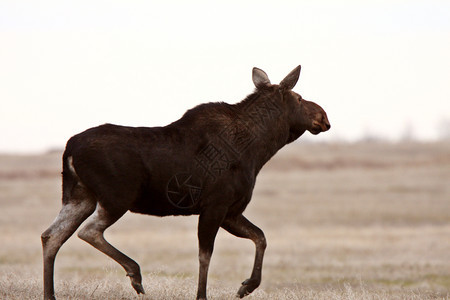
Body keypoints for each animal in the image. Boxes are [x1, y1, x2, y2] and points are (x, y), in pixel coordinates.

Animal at [40, 64, 328, 298]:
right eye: (299, 98)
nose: (323, 116)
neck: (259, 150)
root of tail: (69, 149)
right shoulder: (216, 206)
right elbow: (205, 256)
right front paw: (203, 295)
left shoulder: (231, 211)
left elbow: (260, 237)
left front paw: (247, 286)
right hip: (116, 197)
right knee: (87, 231)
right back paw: (135, 274)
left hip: (79, 197)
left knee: (51, 235)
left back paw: (50, 294)